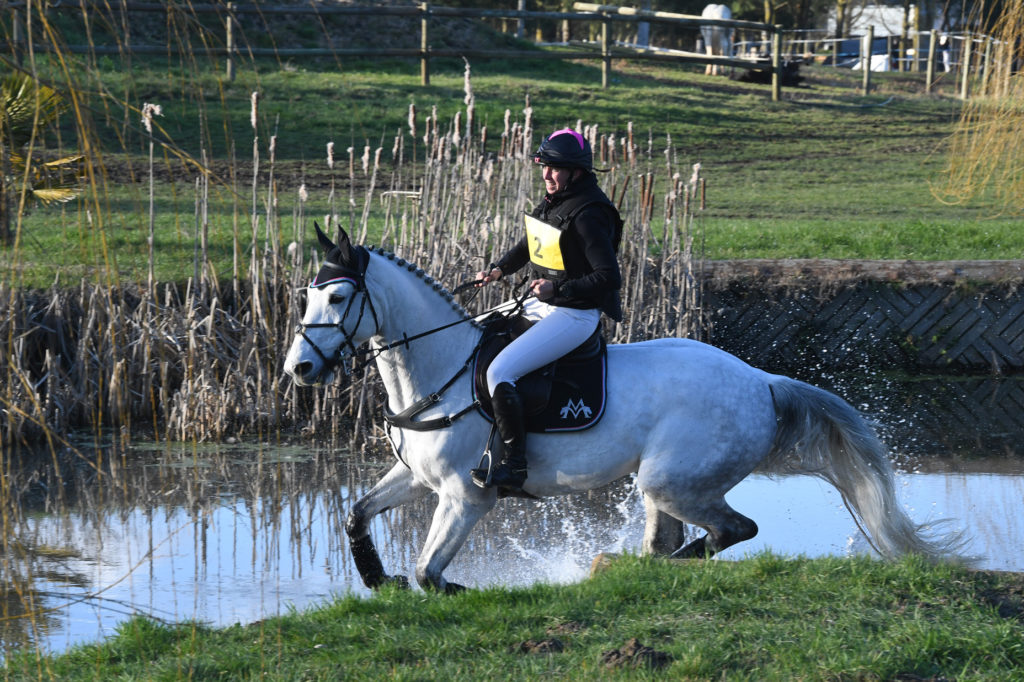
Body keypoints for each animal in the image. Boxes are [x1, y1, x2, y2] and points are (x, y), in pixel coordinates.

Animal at [282, 225, 966, 593]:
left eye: (339, 297)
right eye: (306, 295)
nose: (299, 369)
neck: (439, 370)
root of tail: (760, 381)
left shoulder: (464, 496)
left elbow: (429, 570)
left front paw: (446, 586)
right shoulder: (416, 477)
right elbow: (356, 514)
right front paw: (380, 579)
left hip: (672, 479)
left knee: (729, 531)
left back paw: (638, 571)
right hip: (662, 485)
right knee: (670, 540)